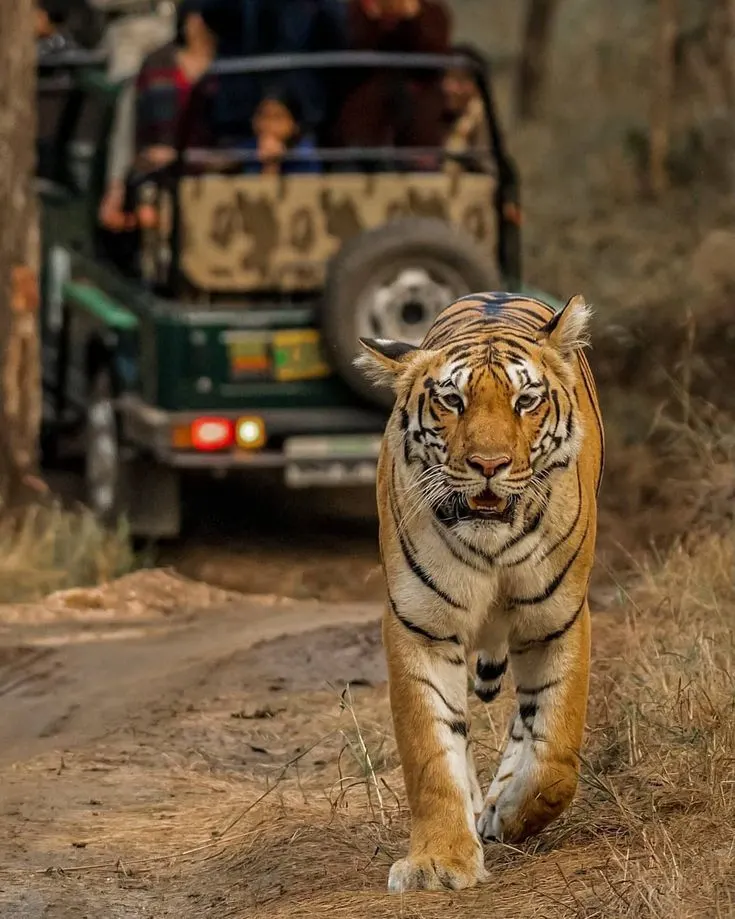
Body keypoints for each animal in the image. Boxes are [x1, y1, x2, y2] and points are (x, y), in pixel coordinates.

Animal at [356, 291, 604, 893]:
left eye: (526, 400)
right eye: (452, 401)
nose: (489, 465)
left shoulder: (558, 619)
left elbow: (556, 751)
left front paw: (509, 814)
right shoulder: (419, 625)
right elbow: (432, 751)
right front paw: (439, 861)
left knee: (528, 723)